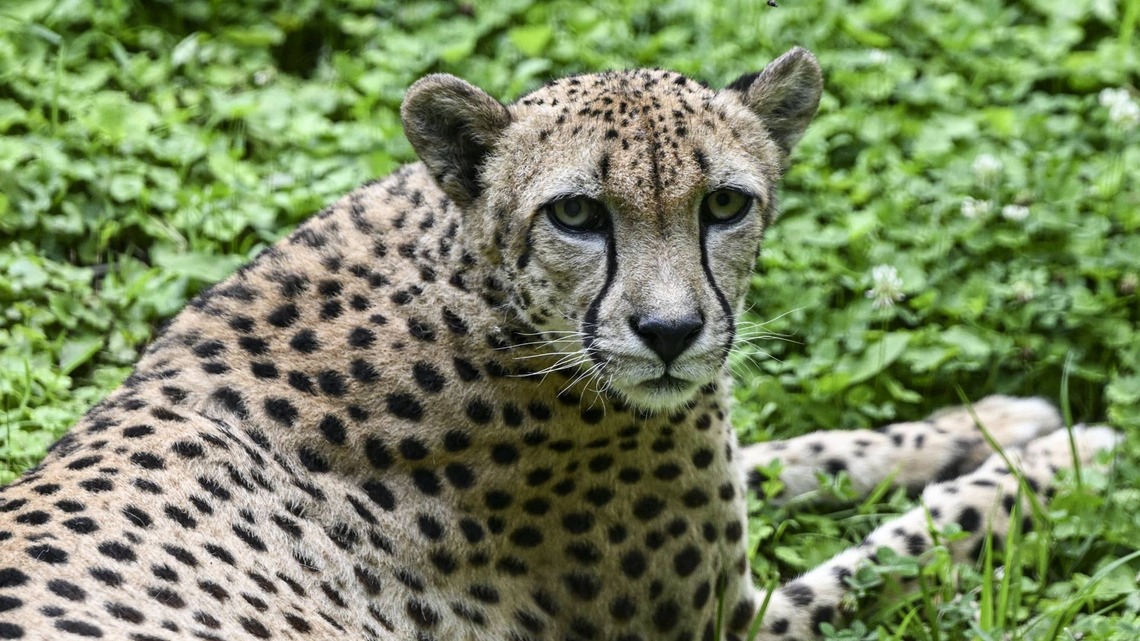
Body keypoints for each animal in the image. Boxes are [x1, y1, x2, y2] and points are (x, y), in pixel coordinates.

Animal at [0, 47, 1119, 641]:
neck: (476, 279)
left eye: (725, 204)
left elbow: (805, 450)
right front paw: (1067, 455)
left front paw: (995, 420)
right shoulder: (728, 621)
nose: (670, 333)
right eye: (578, 213)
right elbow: (913, 546)